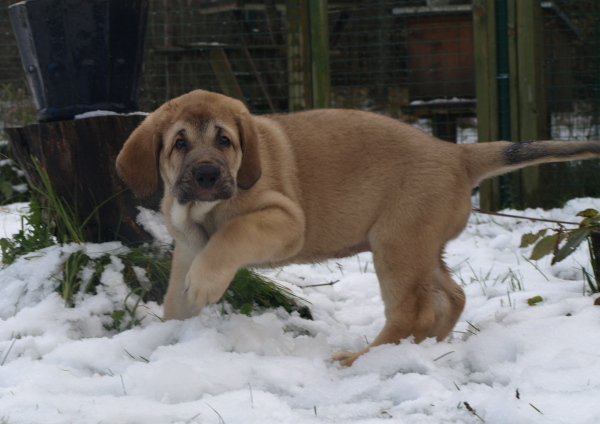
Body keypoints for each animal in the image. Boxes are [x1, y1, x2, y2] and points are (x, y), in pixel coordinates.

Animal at [116, 89, 600, 364]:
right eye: (179, 143)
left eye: (224, 141)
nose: (206, 176)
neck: (200, 210)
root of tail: (455, 153)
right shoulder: (188, 247)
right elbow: (176, 298)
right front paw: (169, 337)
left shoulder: (285, 221)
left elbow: (231, 236)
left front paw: (203, 286)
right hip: (419, 246)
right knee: (451, 297)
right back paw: (428, 344)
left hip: (396, 245)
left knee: (411, 312)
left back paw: (362, 360)